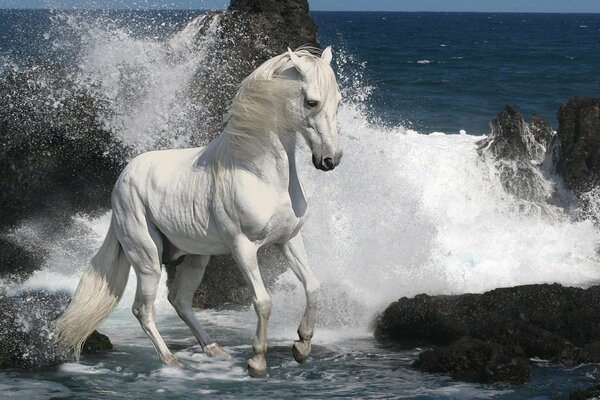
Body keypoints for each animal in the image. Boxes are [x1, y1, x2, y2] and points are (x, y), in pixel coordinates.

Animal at [55, 47, 342, 378]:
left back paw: (214, 349)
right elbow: (263, 302)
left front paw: (302, 347)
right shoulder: (243, 247)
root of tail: (123, 178)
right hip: (147, 258)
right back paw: (171, 361)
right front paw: (257, 362)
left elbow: (313, 287)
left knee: (179, 300)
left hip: (194, 258)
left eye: (338, 101)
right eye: (312, 102)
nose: (330, 160)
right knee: (144, 309)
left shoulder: (289, 239)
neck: (258, 173)